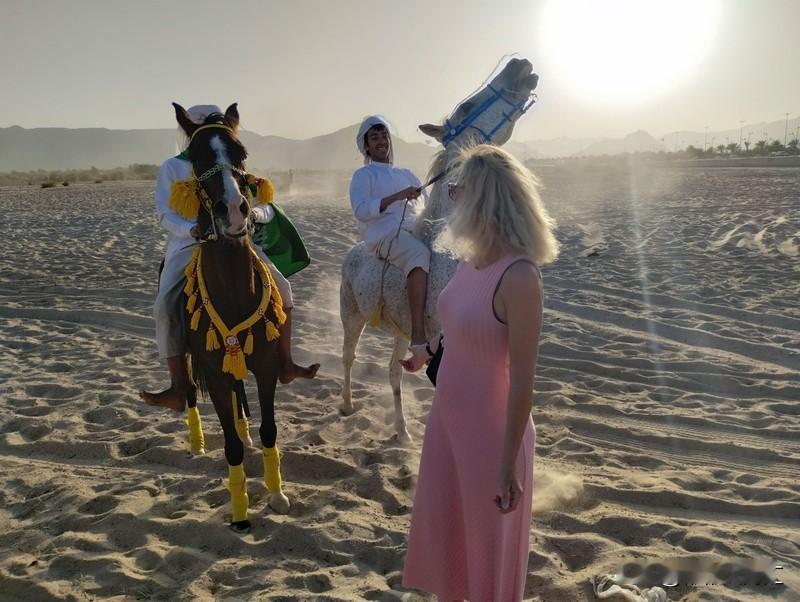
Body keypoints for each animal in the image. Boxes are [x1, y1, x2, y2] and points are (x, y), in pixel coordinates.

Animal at [339, 57, 539, 441]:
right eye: (467, 106)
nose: (519, 63)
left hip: (402, 332)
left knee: (393, 370)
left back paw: (402, 429)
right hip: (351, 316)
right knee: (348, 356)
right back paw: (346, 405)